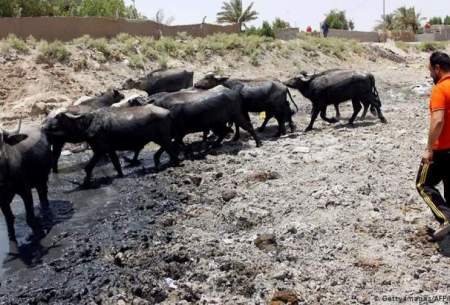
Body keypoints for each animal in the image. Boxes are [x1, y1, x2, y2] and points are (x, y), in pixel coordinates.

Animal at [43, 104, 178, 185]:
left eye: (59, 117)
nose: (44, 126)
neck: (90, 122)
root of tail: (168, 111)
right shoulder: (109, 149)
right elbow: (116, 164)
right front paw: (120, 175)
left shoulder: (100, 150)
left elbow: (89, 167)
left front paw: (86, 182)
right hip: (160, 138)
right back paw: (158, 161)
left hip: (163, 137)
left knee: (172, 150)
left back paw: (171, 163)